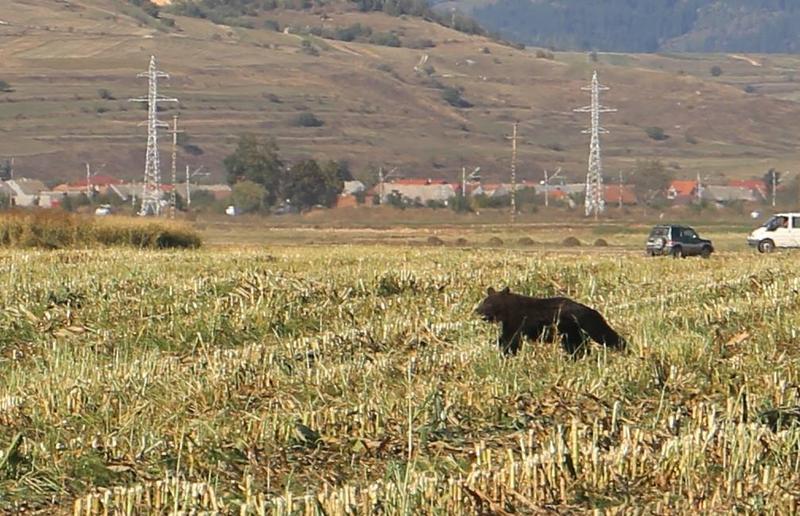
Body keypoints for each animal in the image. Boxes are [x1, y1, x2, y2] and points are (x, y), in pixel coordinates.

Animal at [476, 286, 624, 354]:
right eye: (484, 301)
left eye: (490, 304)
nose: (478, 311)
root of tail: (591, 310)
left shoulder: (518, 321)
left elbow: (511, 339)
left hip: (572, 327)